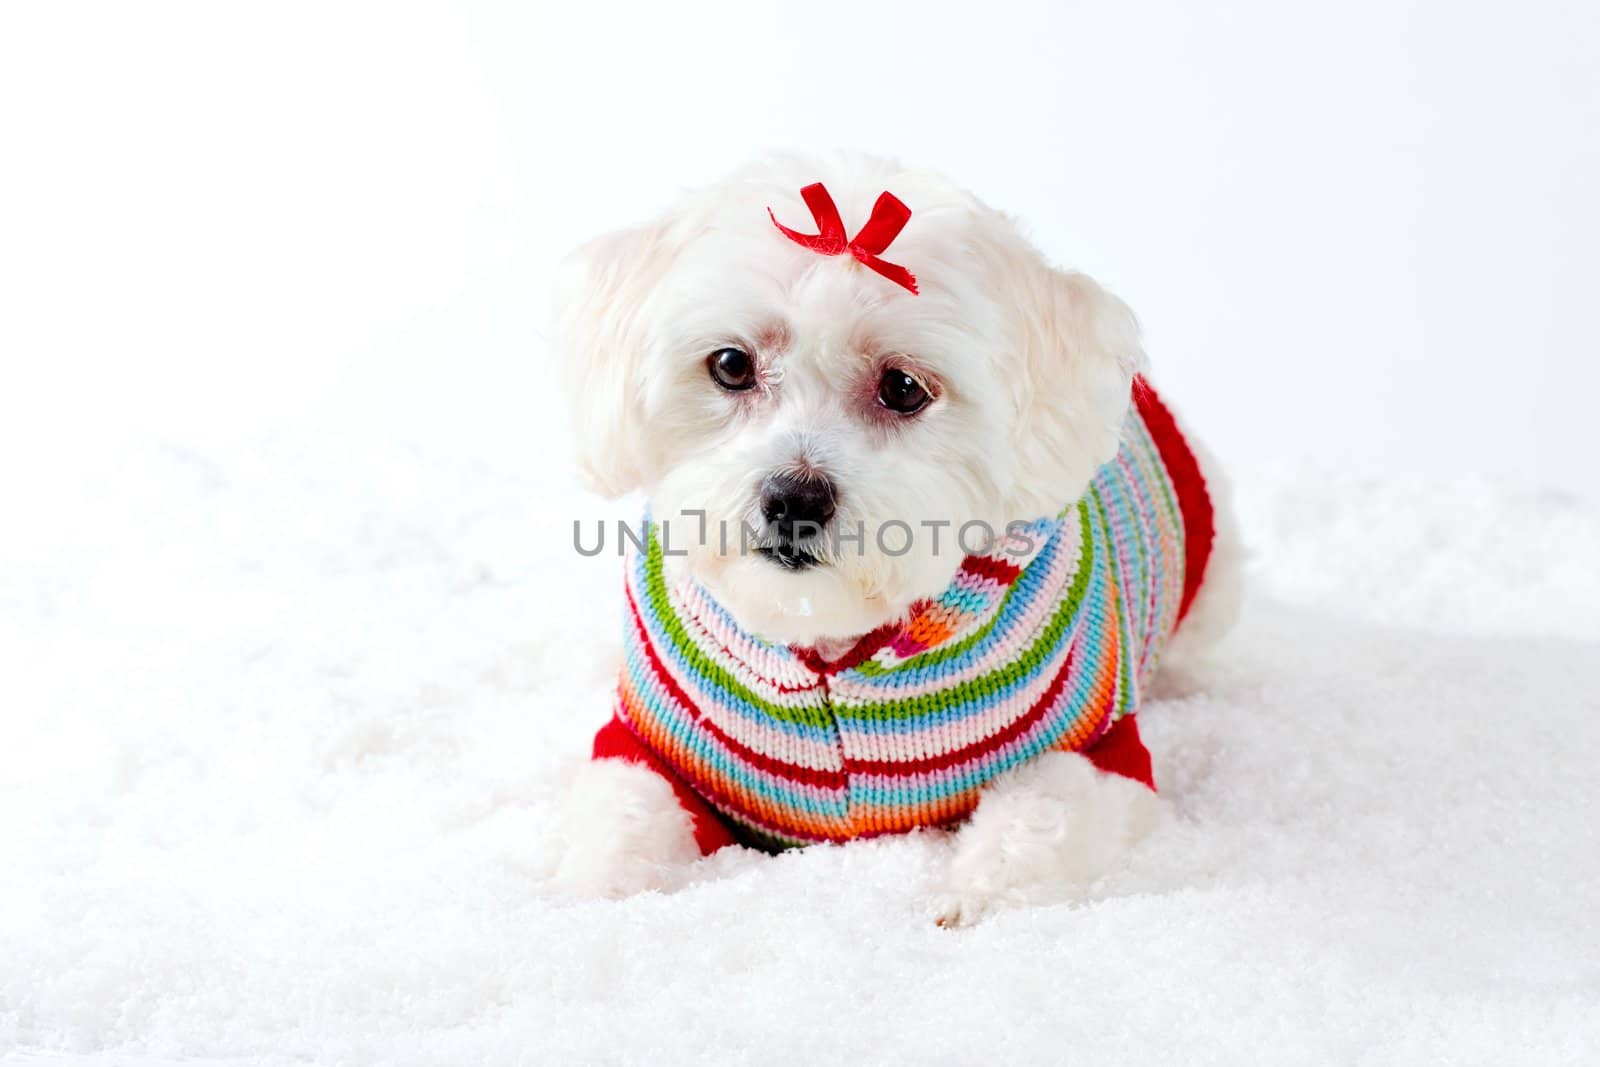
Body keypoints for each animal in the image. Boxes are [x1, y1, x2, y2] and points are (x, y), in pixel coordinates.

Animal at [550, 151, 1235, 927]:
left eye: (904, 386)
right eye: (731, 365)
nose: (794, 498)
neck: (828, 643)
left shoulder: (1104, 754)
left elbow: (1041, 813)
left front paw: (972, 895)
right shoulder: (650, 747)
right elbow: (623, 813)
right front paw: (596, 895)